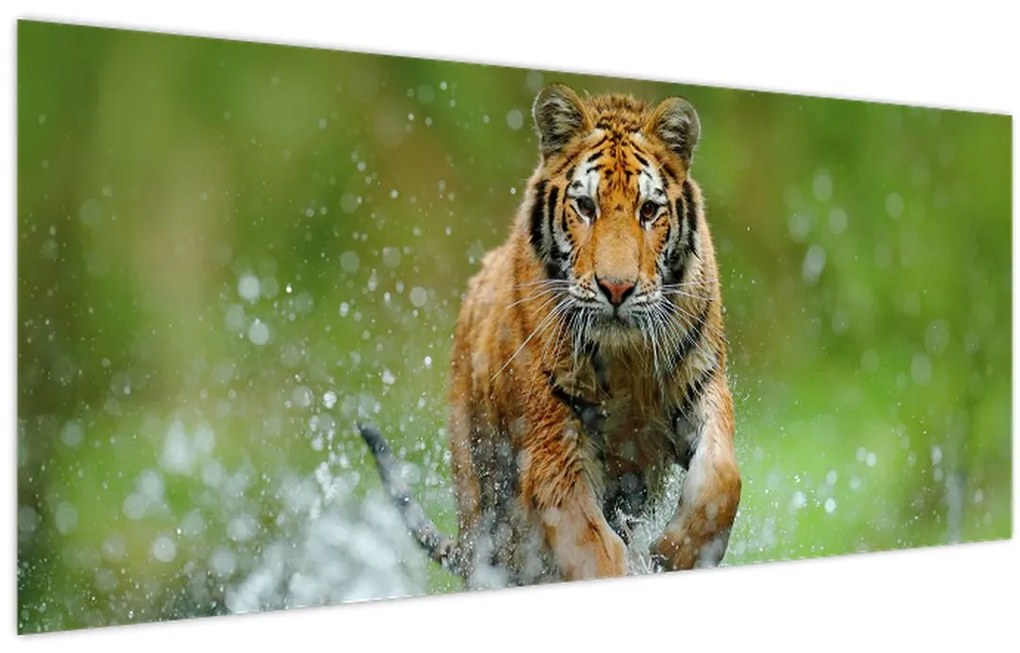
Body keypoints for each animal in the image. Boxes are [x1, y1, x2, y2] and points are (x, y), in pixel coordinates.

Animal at [359, 82, 740, 585]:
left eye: (648, 210)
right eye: (586, 206)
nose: (616, 288)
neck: (626, 359)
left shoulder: (701, 385)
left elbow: (722, 477)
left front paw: (676, 554)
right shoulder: (554, 449)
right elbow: (590, 548)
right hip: (484, 505)